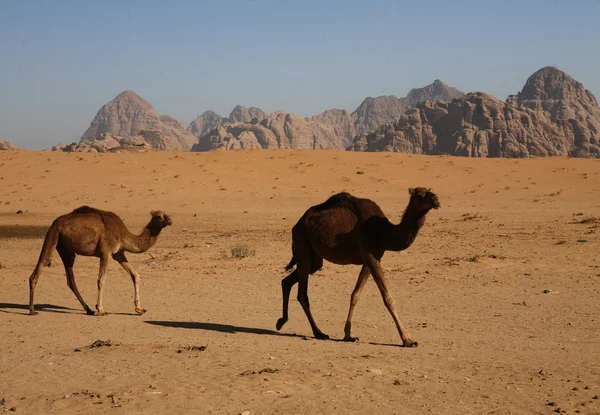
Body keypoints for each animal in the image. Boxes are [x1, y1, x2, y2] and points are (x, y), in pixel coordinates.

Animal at [29, 206, 172, 316]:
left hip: (65, 249)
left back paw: (88, 309)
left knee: (70, 280)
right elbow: (101, 280)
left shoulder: (118, 254)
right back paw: (32, 310)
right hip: (52, 236)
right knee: (40, 267)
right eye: (159, 216)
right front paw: (101, 310)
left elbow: (135, 275)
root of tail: (54, 223)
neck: (122, 233)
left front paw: (139, 309)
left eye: (167, 213)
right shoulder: (105, 253)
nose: (170, 220)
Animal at [276, 188, 440, 348]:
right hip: (302, 243)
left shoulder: (371, 259)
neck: (384, 232)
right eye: (419, 195)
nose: (436, 199)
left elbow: (355, 294)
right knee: (302, 294)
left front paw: (348, 335)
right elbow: (388, 298)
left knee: (287, 281)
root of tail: (297, 223)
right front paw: (408, 340)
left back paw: (281, 321)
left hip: (314, 258)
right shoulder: (370, 255)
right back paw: (319, 332)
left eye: (430, 190)